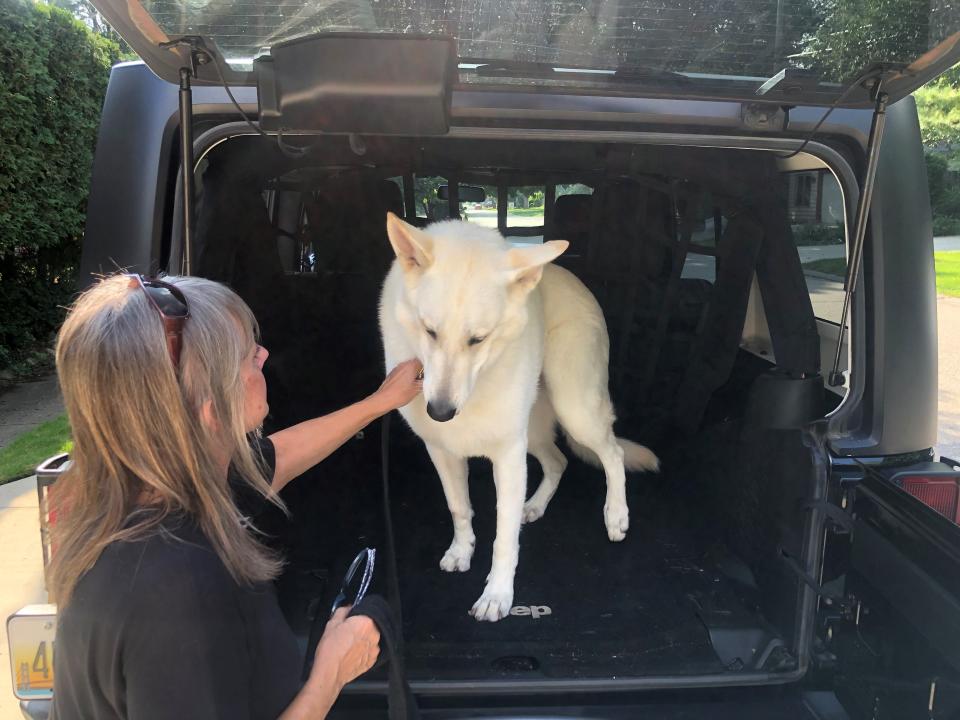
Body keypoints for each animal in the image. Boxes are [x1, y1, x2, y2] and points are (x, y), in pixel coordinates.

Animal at [376, 211, 660, 620]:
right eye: (430, 331)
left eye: (478, 339)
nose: (440, 412)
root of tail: (574, 279)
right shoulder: (443, 451)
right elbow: (459, 507)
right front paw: (462, 551)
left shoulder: (508, 456)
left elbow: (505, 537)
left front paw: (497, 595)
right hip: (536, 431)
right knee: (558, 461)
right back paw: (537, 505)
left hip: (574, 410)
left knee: (613, 453)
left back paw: (616, 514)